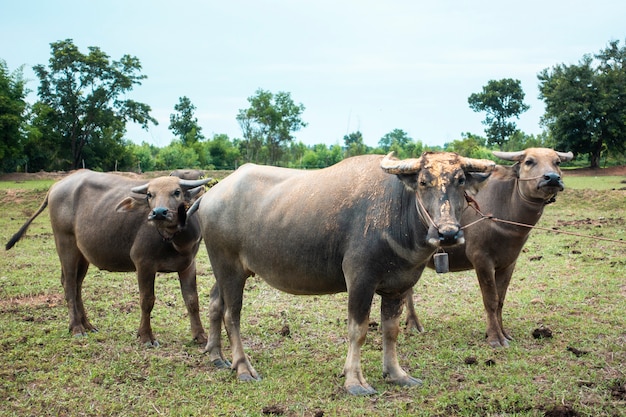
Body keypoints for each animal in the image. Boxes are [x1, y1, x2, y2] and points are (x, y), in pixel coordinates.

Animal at [4, 169, 211, 344]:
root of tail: (56, 186)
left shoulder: (188, 265)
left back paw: (88, 325)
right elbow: (147, 300)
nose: (158, 212)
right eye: (149, 195)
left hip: (83, 253)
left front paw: (200, 336)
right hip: (65, 243)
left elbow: (192, 300)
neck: (175, 241)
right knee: (69, 283)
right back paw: (77, 328)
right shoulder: (143, 264)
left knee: (77, 284)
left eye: (176, 192)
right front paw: (146, 337)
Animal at [199, 150, 492, 394]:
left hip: (226, 271)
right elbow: (357, 330)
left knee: (215, 302)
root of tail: (209, 196)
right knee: (232, 315)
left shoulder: (397, 286)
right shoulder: (360, 280)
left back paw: (217, 357)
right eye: (423, 182)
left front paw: (397, 374)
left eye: (460, 180)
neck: (396, 212)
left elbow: (391, 331)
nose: (448, 233)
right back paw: (243, 367)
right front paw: (355, 381)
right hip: (228, 268)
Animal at [404, 148, 572, 346]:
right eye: (529, 161)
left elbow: (500, 300)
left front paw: (504, 333)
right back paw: (414, 325)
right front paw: (495, 338)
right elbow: (490, 299)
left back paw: (411, 323)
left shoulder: (509, 263)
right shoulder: (481, 259)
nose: (552, 178)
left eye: (557, 162)